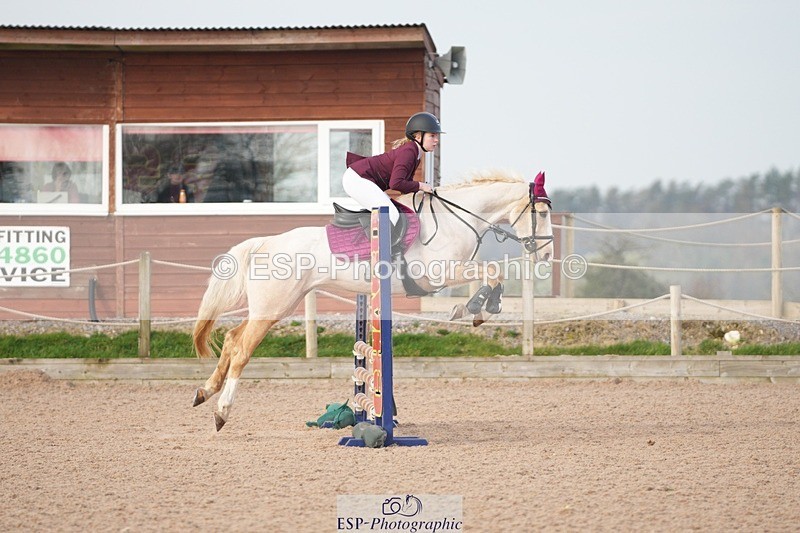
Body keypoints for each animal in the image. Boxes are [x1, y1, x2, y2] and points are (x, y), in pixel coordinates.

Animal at [191, 170, 554, 431]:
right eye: (542, 213)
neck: (457, 218)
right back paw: (221, 412)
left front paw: (477, 310)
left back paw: (204, 392)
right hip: (273, 307)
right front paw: (475, 308)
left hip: (274, 306)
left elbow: (493, 273)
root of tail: (264, 243)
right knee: (241, 351)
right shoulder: (439, 273)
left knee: (231, 339)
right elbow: (492, 271)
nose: (548, 254)